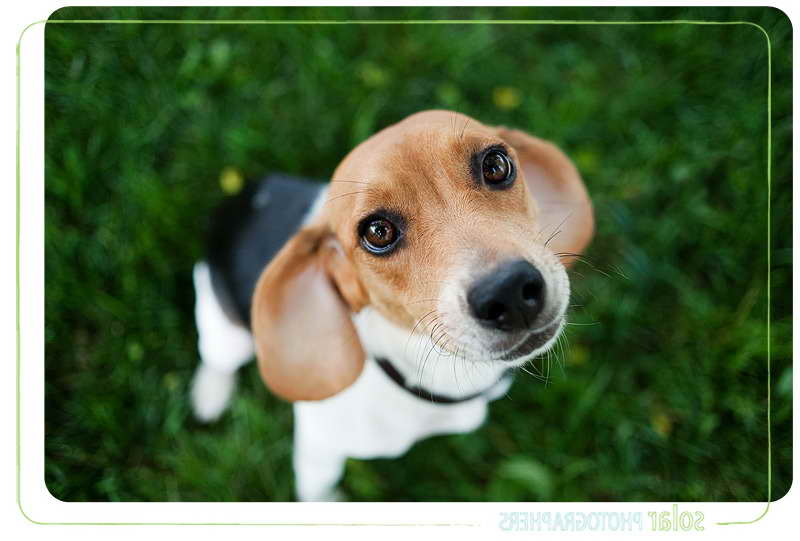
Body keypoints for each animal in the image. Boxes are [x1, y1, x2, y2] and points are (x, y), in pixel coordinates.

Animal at [191, 109, 592, 502]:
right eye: (377, 232)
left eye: (496, 164)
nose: (507, 291)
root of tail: (249, 192)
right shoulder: (319, 449)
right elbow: (317, 492)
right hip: (225, 328)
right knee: (216, 359)